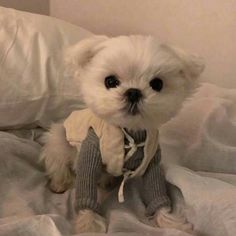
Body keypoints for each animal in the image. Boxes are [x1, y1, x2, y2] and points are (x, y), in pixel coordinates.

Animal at [40, 36, 203, 233]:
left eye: (157, 84)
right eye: (110, 81)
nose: (133, 92)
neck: (129, 131)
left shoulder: (152, 161)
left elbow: (157, 192)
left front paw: (169, 221)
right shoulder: (90, 150)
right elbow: (86, 189)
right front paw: (89, 223)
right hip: (58, 141)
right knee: (58, 163)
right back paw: (60, 183)